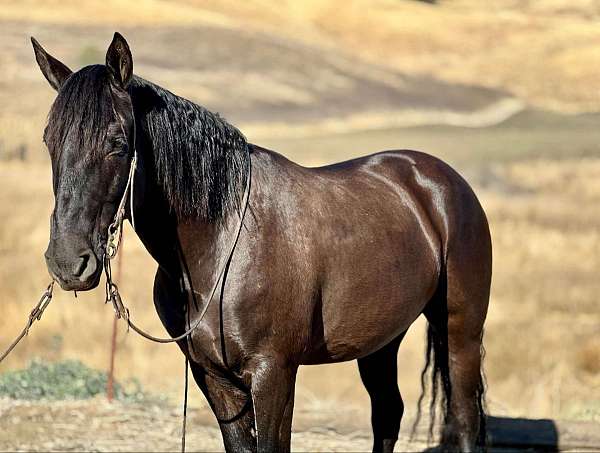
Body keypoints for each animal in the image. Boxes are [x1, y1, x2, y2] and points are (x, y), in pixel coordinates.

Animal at [32, 33, 490, 450]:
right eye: (49, 140)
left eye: (118, 143)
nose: (68, 263)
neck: (220, 247)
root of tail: (440, 182)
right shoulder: (213, 376)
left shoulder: (273, 373)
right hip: (381, 340)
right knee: (388, 413)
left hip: (461, 334)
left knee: (464, 418)